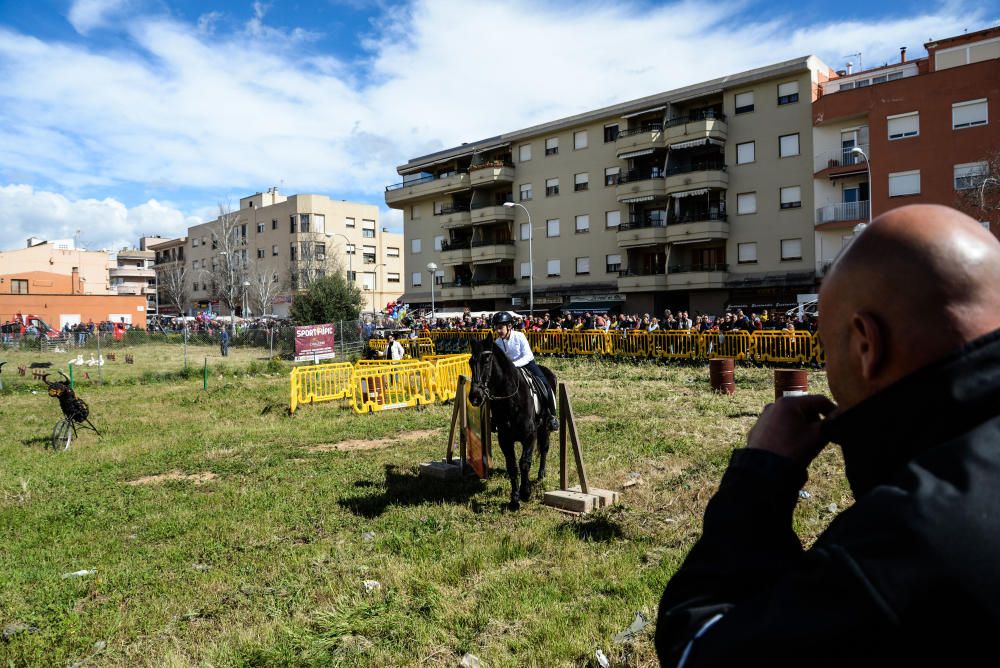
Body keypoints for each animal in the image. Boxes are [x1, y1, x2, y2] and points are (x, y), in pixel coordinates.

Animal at [466, 336, 556, 508]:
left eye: (487, 360)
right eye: (470, 362)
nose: (475, 396)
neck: (512, 400)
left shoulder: (529, 436)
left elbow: (525, 463)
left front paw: (525, 493)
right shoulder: (505, 439)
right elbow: (513, 466)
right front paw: (514, 499)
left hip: (545, 428)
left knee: (545, 448)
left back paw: (541, 475)